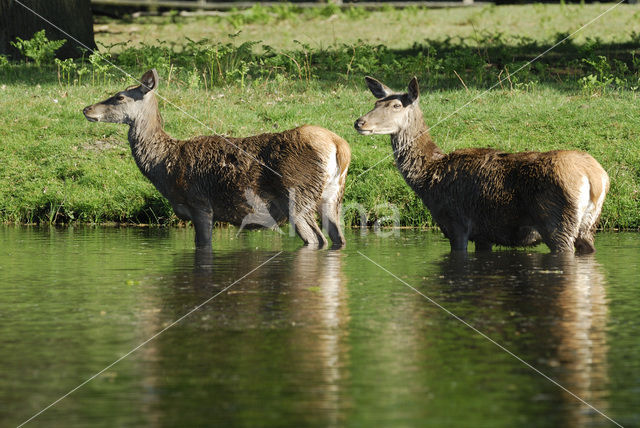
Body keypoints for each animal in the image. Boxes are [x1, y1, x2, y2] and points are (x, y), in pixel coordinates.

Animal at [83, 69, 352, 251]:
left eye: (119, 97)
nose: (86, 109)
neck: (164, 167)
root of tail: (339, 146)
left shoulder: (200, 203)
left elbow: (203, 245)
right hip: (332, 195)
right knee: (338, 236)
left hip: (297, 195)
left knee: (317, 238)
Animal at [356, 76, 608, 254]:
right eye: (376, 101)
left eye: (396, 106)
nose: (360, 122)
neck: (427, 180)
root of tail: (594, 177)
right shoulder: (483, 234)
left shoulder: (456, 223)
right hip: (589, 225)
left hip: (557, 222)